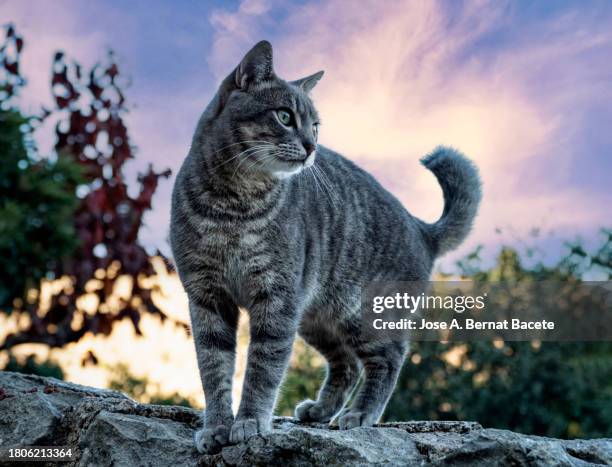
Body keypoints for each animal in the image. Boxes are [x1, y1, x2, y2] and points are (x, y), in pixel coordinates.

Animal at [170, 40, 480, 454]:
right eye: (285, 116)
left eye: (315, 124)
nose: (311, 145)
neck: (231, 206)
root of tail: (420, 227)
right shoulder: (207, 297)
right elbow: (213, 369)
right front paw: (217, 427)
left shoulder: (276, 298)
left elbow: (263, 369)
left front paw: (250, 422)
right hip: (317, 319)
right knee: (345, 364)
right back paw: (320, 410)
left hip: (362, 313)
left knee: (388, 360)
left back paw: (361, 414)